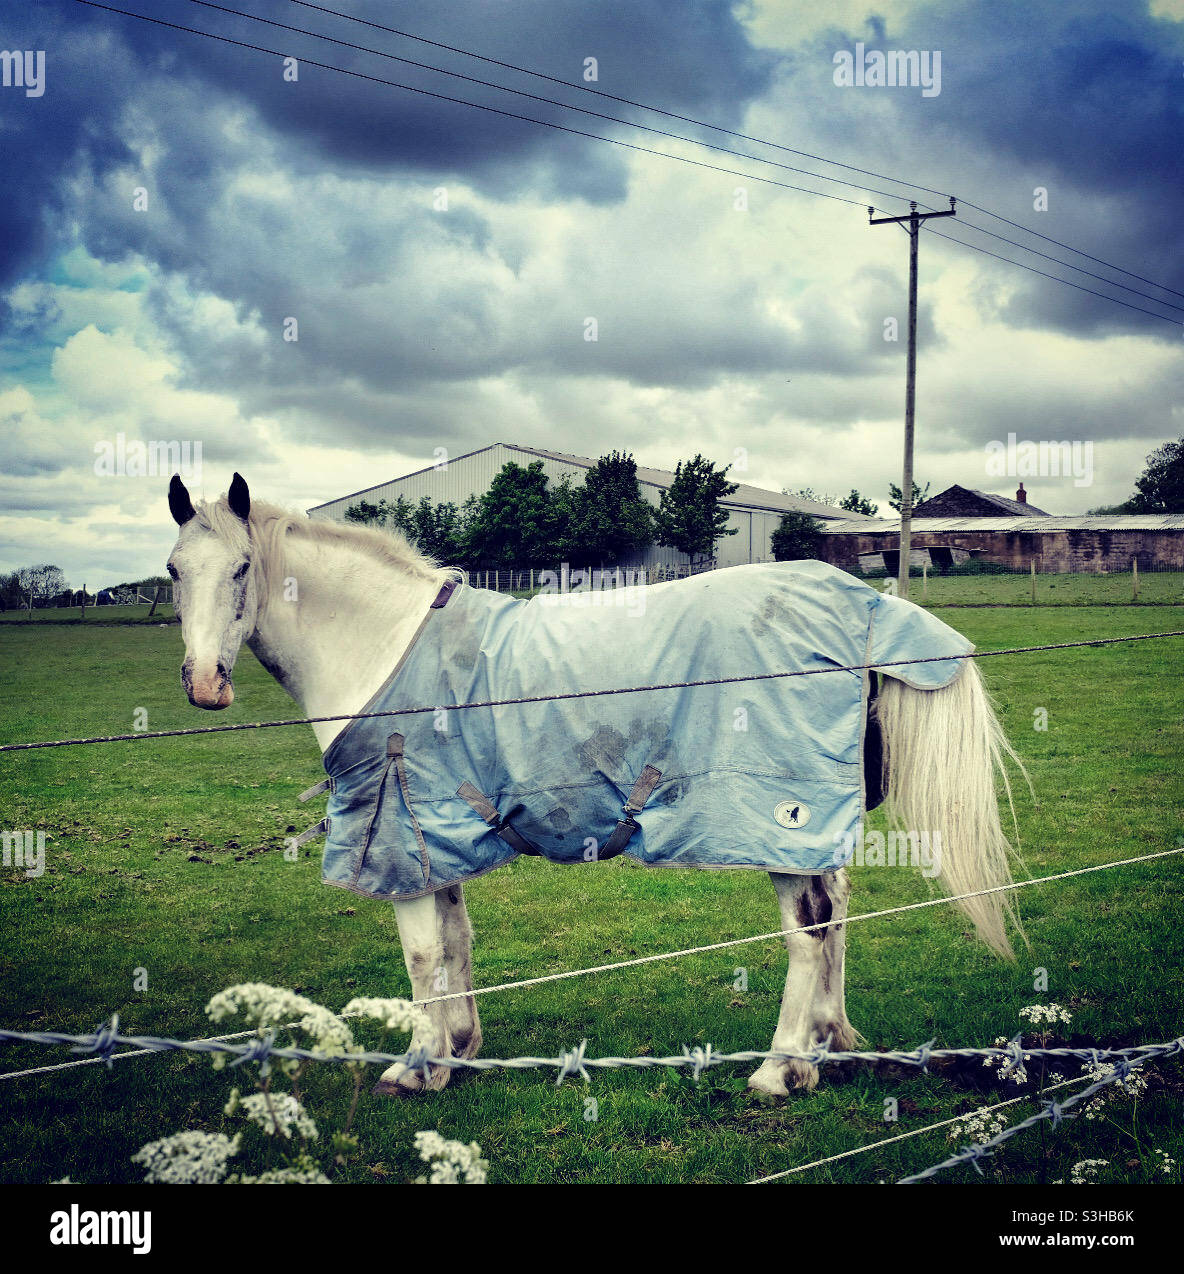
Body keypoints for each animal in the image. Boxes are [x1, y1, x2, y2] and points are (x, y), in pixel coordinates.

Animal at [166, 473, 1024, 1097]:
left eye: (242, 568)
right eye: (174, 571)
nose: (205, 686)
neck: (382, 643)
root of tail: (863, 603)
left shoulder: (398, 841)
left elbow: (420, 955)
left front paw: (416, 1066)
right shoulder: (437, 837)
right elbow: (454, 942)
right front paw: (457, 1051)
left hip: (783, 820)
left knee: (809, 930)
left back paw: (782, 1068)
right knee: (838, 914)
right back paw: (828, 1048)